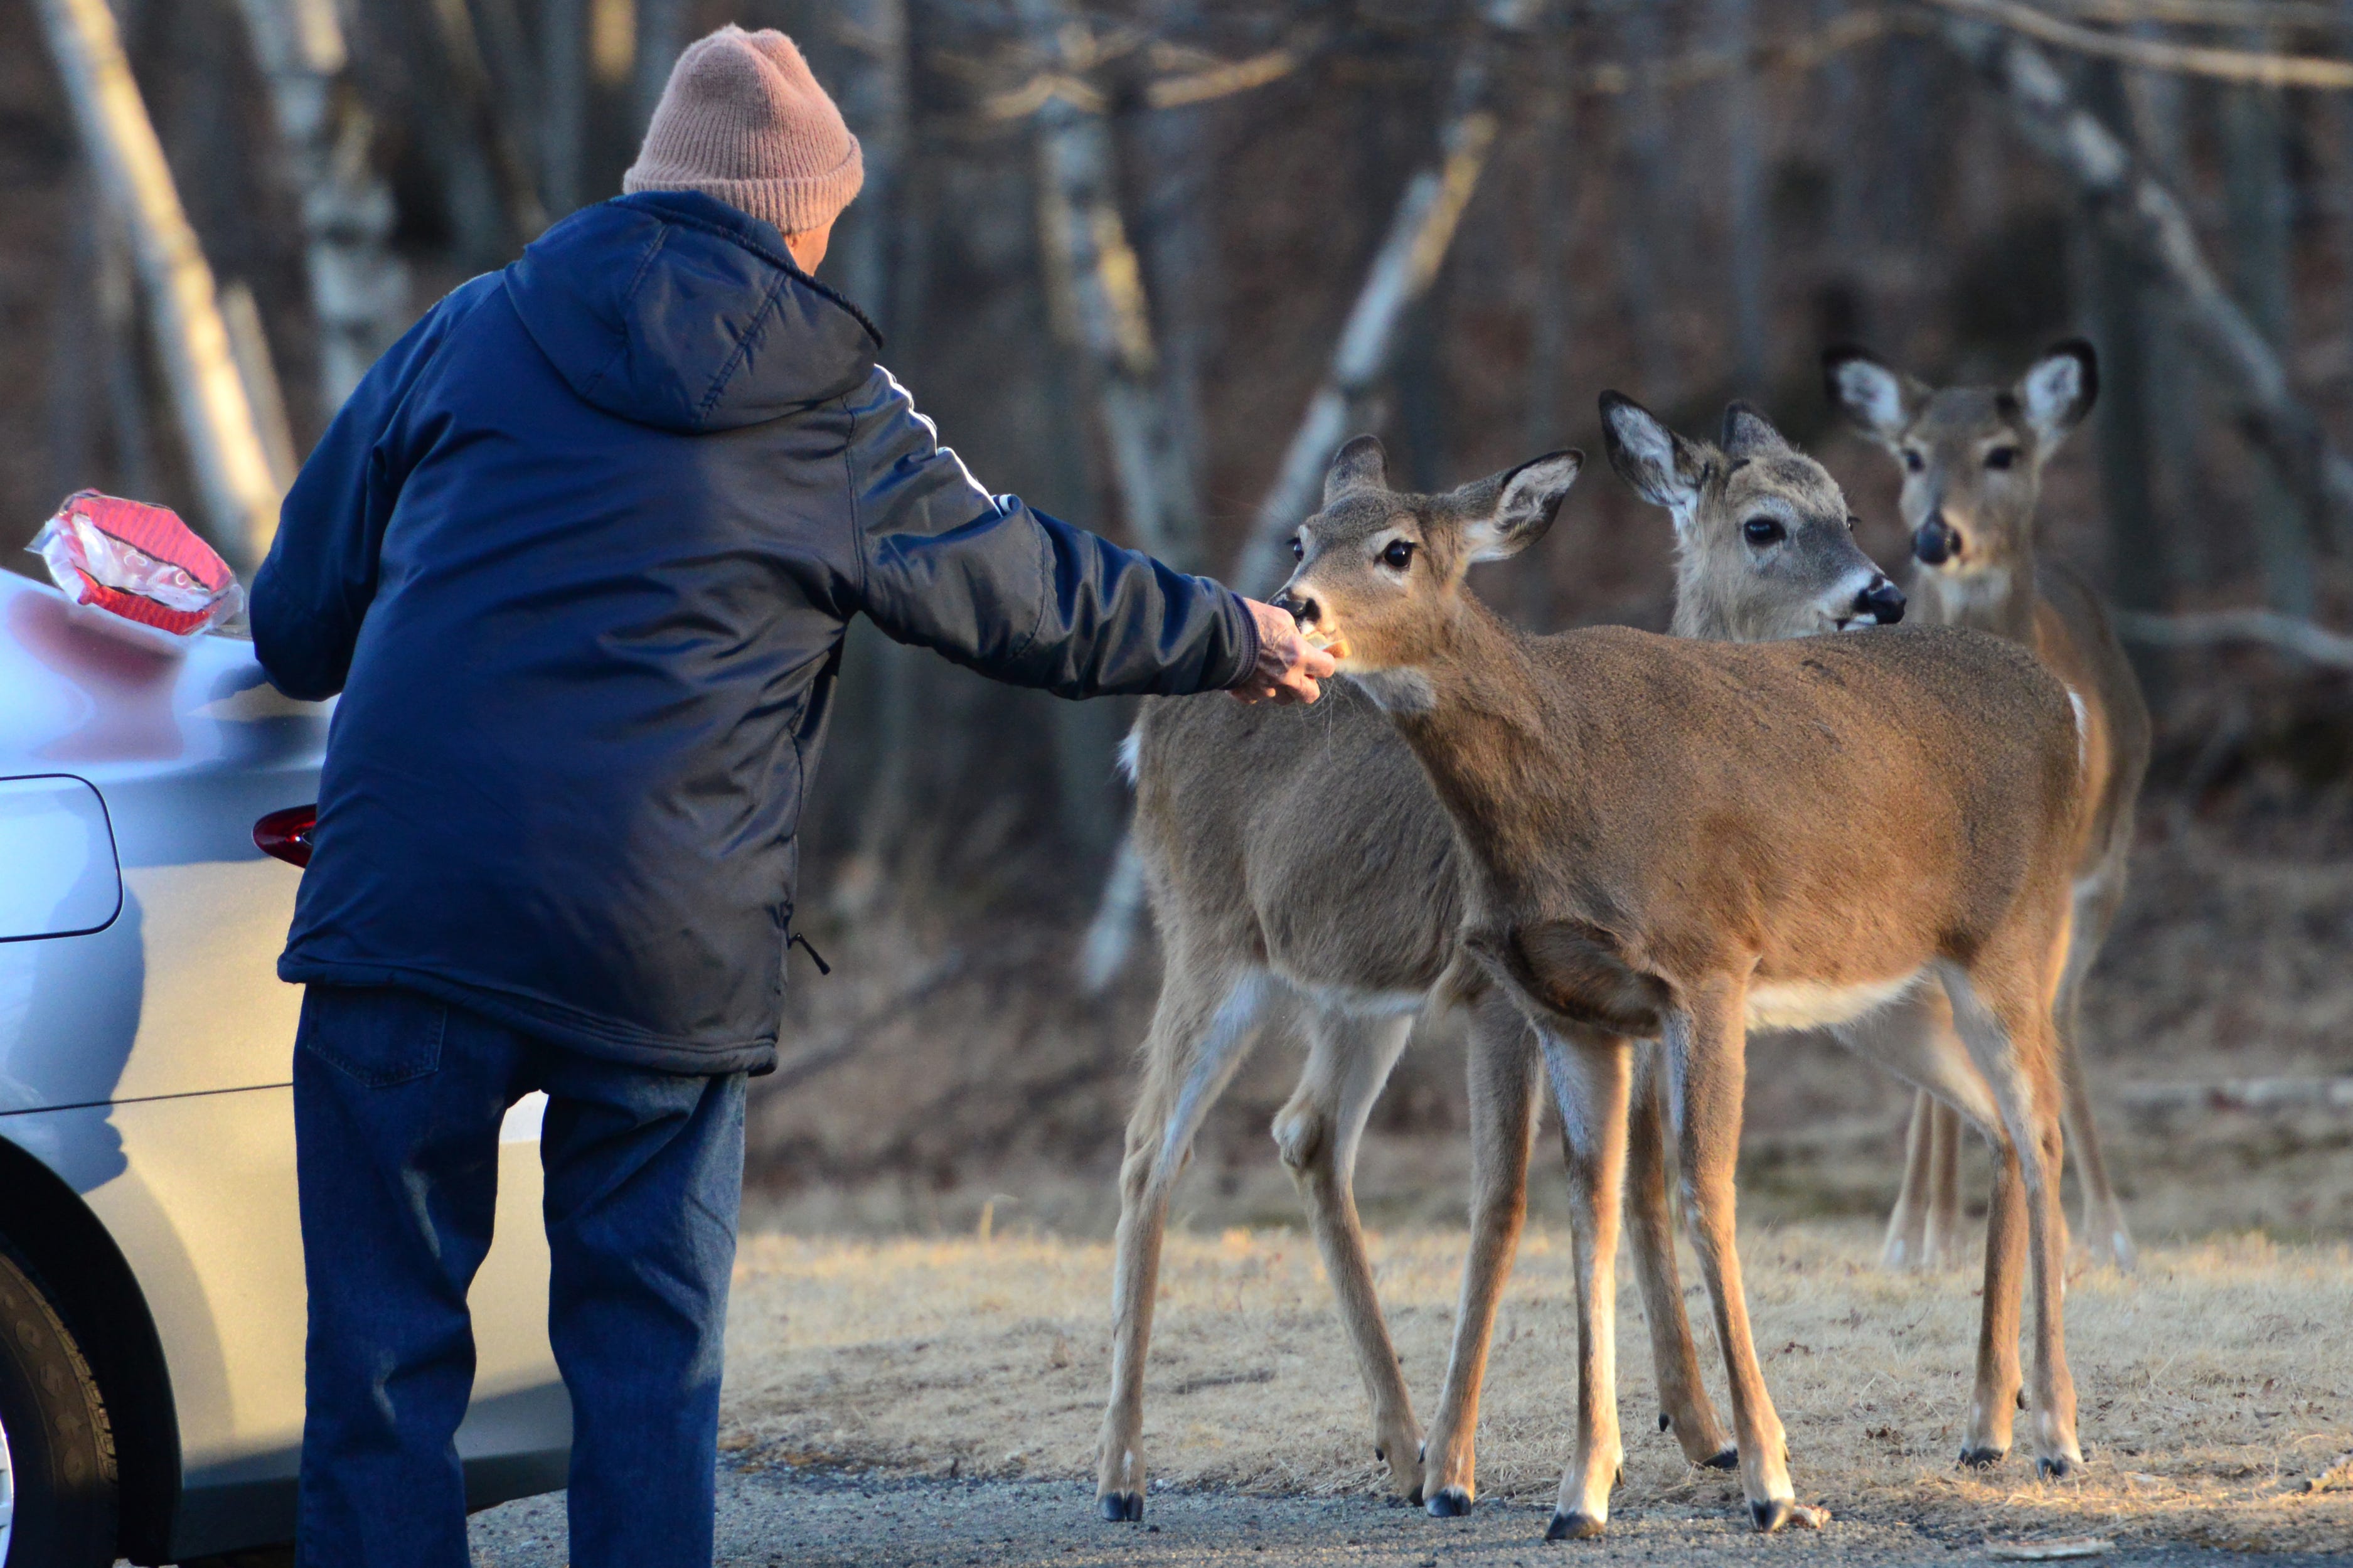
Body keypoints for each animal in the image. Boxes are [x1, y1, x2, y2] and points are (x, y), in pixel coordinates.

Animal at [1097, 398, 1909, 1528]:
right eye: (1765, 525)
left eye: (1846, 504)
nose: (1882, 593)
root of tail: (1142, 730)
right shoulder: (1492, 990)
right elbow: (1504, 1197)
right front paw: (1465, 1469)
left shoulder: (1627, 997)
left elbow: (1639, 1173)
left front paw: (1697, 1429)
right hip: (1210, 938)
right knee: (1147, 1149)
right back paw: (1125, 1476)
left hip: (1355, 996)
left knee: (1305, 1130)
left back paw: (1395, 1443)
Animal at [1267, 428, 2089, 1537]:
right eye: (1303, 535)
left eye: (1397, 548)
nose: (1296, 603)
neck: (1560, 779)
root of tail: (2065, 704)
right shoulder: (1567, 1005)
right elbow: (1591, 1208)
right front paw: (1580, 1492)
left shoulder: (1708, 966)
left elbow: (1705, 1189)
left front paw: (1771, 1480)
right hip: (1888, 994)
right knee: (2001, 1125)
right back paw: (1986, 1423)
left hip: (2016, 937)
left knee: (2041, 1132)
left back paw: (2056, 1430)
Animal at [1825, 340, 2151, 1273]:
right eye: (1910, 454)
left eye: (2003, 453)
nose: (1937, 537)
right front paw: (1914, 1232)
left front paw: (2081, 1230)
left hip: (2102, 866)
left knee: (2058, 1017)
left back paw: (2105, 1227)